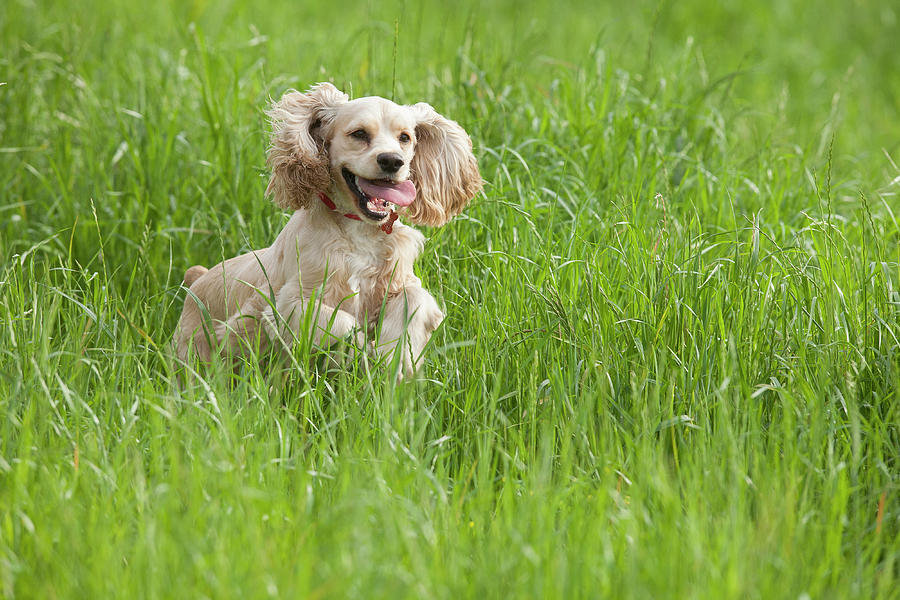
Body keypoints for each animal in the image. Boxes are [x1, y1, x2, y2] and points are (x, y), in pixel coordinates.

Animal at [177, 82, 486, 378]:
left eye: (405, 137)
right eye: (359, 133)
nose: (392, 161)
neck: (359, 231)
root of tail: (197, 280)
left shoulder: (400, 281)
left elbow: (415, 299)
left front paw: (396, 359)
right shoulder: (288, 303)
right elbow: (342, 322)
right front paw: (362, 349)